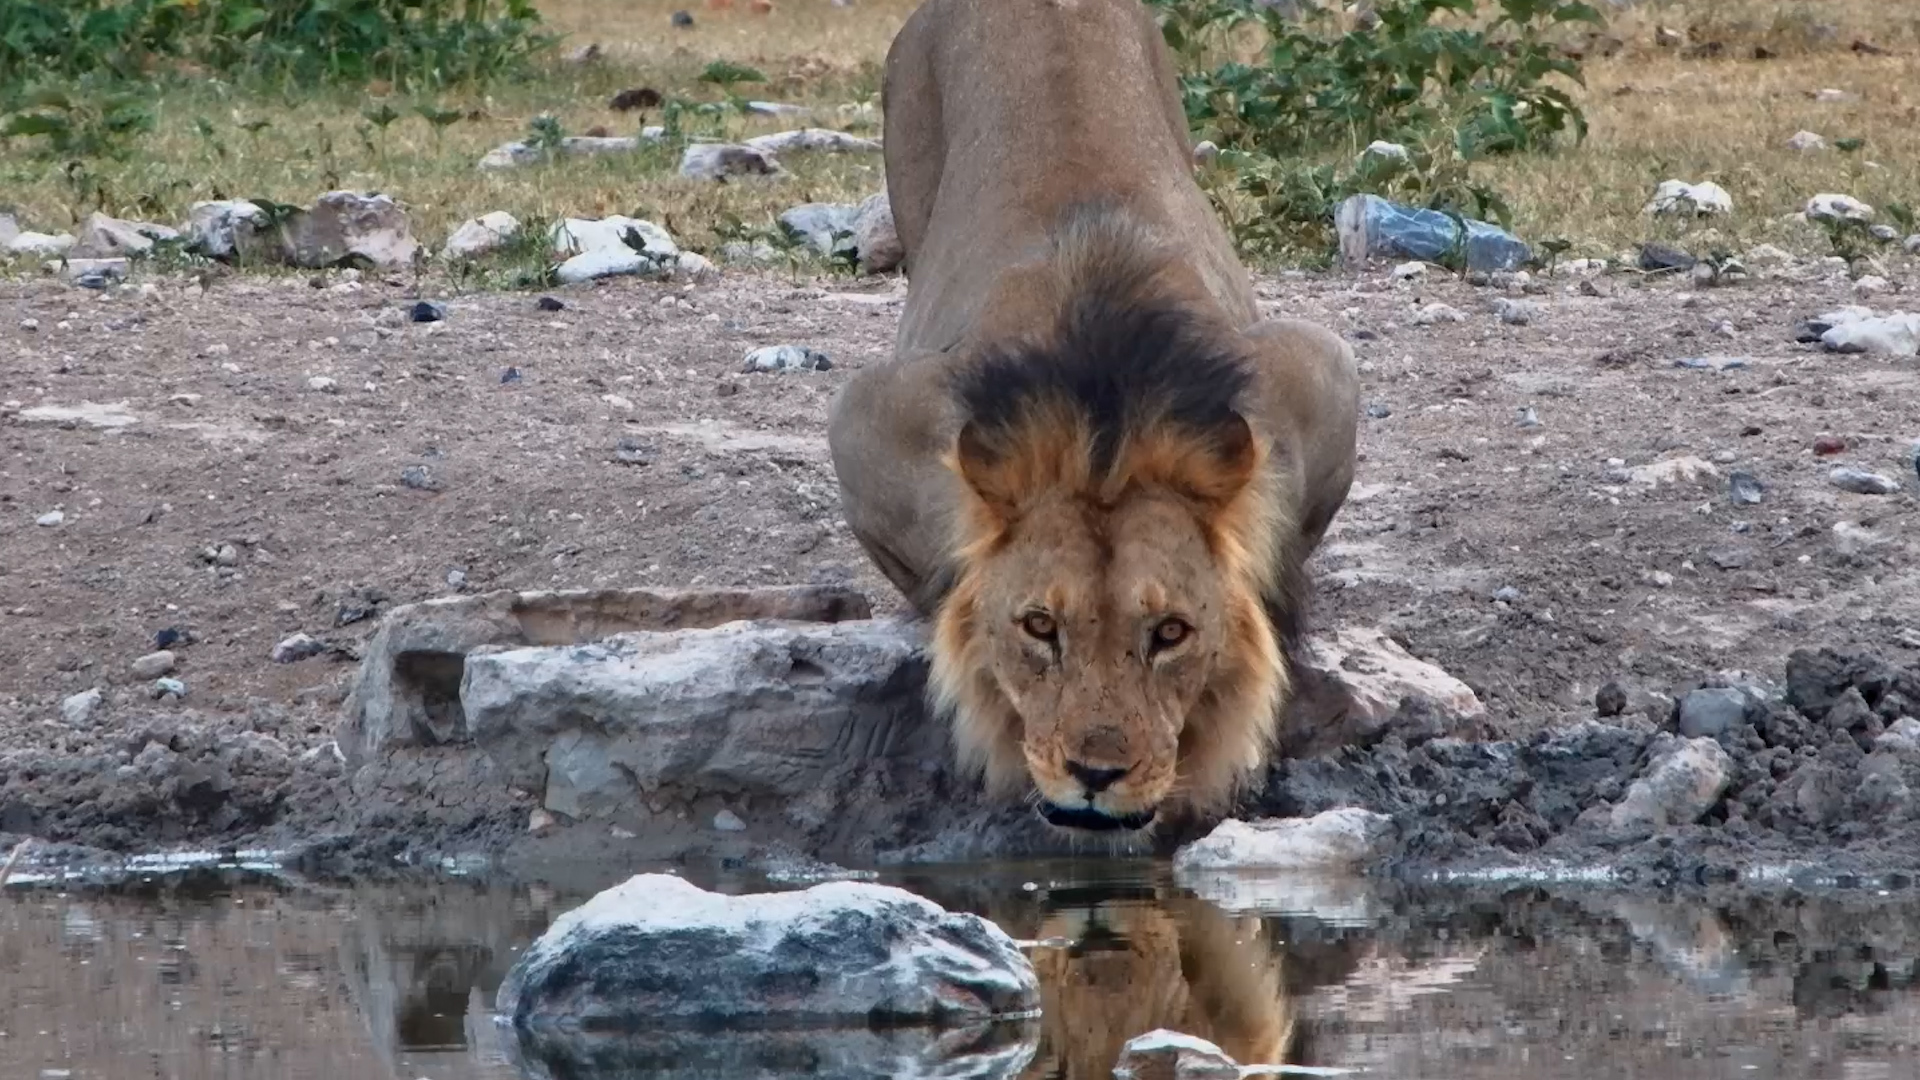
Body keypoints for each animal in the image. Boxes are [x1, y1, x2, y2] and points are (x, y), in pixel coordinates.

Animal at [827, 0, 1358, 834]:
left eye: (1169, 633)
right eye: (1040, 628)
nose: (1097, 774)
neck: (1105, 426)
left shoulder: (1318, 371)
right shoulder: (868, 416)